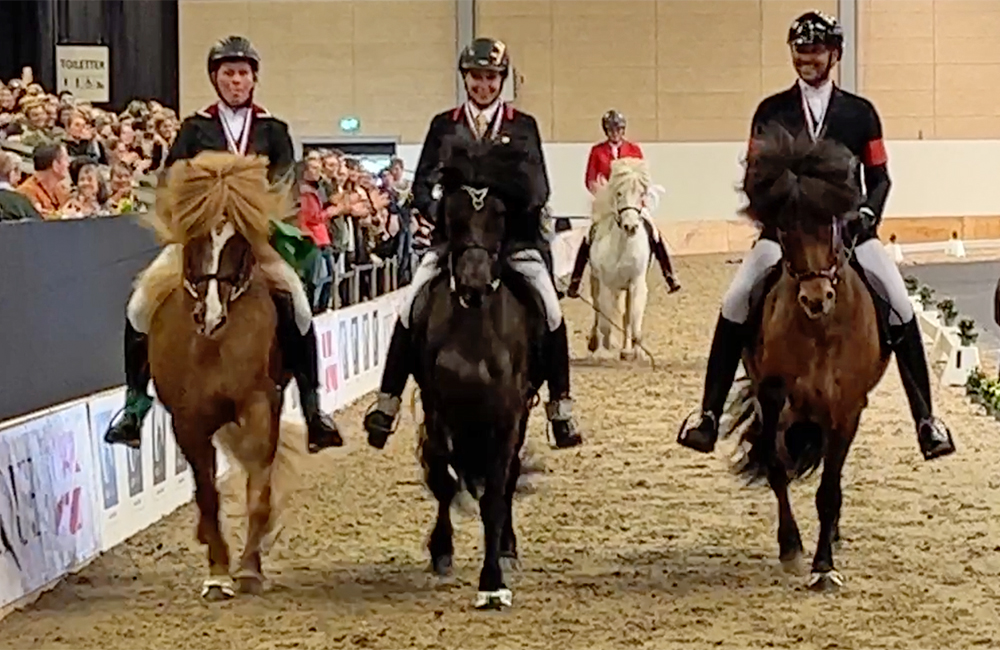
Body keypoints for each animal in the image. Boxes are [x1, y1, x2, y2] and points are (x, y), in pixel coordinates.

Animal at [143, 151, 300, 596]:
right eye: (195, 236)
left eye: (237, 241)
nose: (210, 317)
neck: (213, 346)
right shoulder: (187, 421)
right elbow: (207, 495)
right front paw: (217, 573)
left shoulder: (260, 407)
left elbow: (258, 491)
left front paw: (248, 569)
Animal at [408, 135, 548, 608]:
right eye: (451, 214)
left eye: (500, 216)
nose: (472, 284)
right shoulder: (437, 410)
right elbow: (442, 477)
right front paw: (441, 550)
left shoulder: (506, 415)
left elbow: (494, 496)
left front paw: (492, 580)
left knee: (507, 480)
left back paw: (506, 548)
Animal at [584, 157, 656, 360]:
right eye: (619, 193)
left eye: (641, 194)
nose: (630, 227)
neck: (623, 247)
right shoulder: (606, 285)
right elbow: (605, 322)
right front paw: (606, 348)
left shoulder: (636, 283)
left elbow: (634, 319)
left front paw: (636, 352)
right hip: (596, 281)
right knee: (597, 310)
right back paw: (596, 344)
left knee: (626, 316)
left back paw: (627, 350)